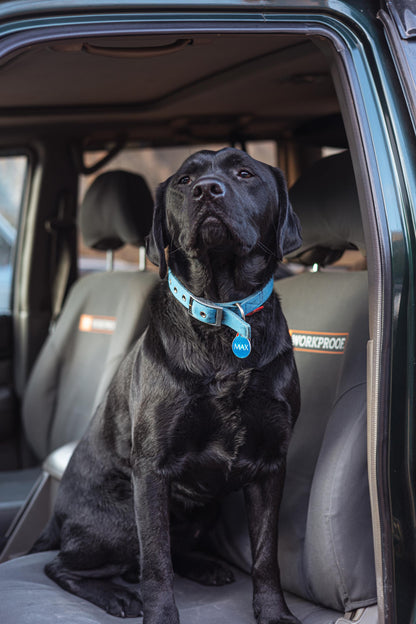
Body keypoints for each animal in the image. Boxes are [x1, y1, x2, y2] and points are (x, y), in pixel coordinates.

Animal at [30, 147, 300, 624]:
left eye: (244, 172)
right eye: (184, 180)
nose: (207, 190)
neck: (223, 314)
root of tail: (56, 519)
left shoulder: (270, 465)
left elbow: (266, 555)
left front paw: (274, 613)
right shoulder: (151, 471)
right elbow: (156, 563)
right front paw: (158, 614)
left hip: (205, 507)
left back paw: (206, 566)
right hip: (122, 517)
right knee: (60, 565)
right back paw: (117, 596)